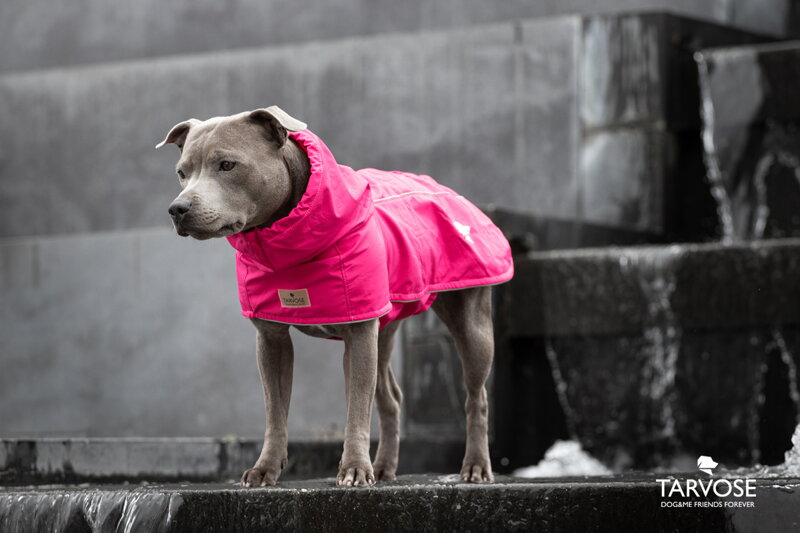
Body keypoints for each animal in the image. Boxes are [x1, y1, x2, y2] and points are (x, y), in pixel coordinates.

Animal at [158, 106, 512, 484]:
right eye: (181, 173)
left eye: (227, 165)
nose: (177, 208)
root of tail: (451, 191)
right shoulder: (271, 338)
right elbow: (275, 412)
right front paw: (266, 467)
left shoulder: (359, 332)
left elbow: (356, 407)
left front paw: (355, 468)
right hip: (384, 329)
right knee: (391, 397)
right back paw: (385, 466)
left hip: (470, 325)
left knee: (476, 397)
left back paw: (475, 466)